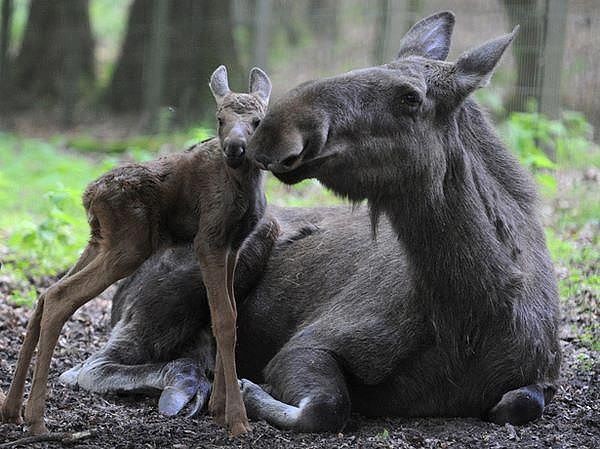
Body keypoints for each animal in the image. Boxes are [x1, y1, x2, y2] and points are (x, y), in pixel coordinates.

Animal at [243, 11, 556, 428]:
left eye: (410, 96)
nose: (274, 131)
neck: (470, 312)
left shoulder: (543, 375)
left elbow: (522, 402)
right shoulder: (307, 343)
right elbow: (327, 406)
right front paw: (247, 390)